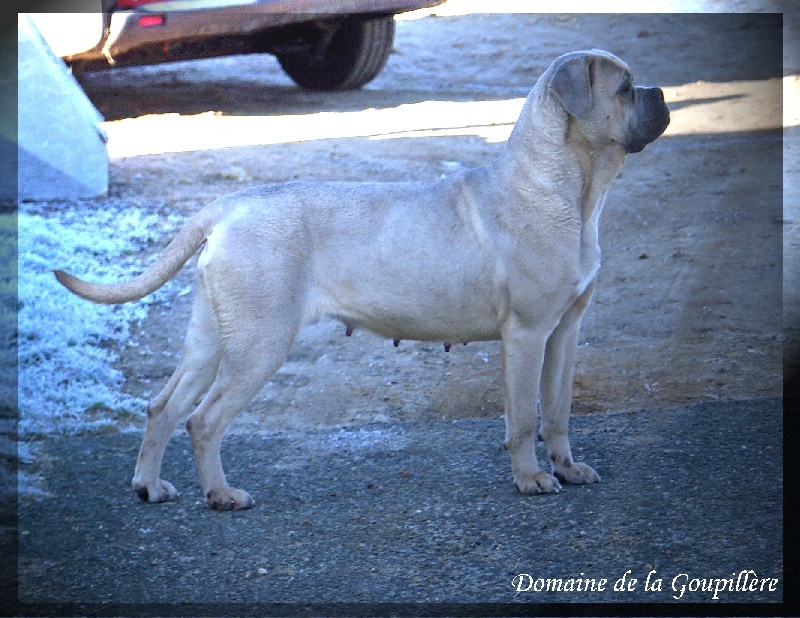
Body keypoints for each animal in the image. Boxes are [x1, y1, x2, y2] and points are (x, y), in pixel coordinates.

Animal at [54, 49, 668, 510]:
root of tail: (229, 206)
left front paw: (568, 469)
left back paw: (150, 486)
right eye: (624, 89)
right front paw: (531, 479)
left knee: (163, 407)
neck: (565, 188)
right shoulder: (526, 335)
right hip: (259, 345)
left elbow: (558, 411)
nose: (661, 94)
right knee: (204, 421)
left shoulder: (564, 332)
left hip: (210, 339)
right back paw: (223, 495)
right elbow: (522, 418)